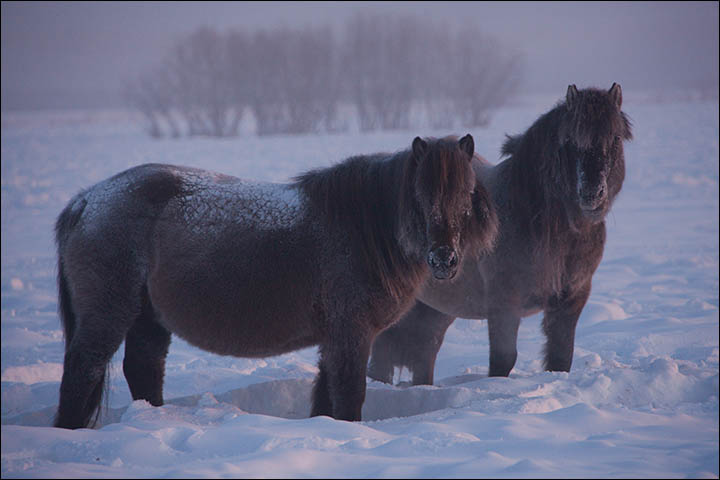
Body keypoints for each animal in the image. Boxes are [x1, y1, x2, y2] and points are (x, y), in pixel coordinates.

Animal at [53, 134, 498, 428]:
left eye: (466, 194)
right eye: (419, 197)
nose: (444, 259)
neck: (363, 228)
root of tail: (87, 200)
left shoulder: (335, 335)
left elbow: (326, 392)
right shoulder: (351, 332)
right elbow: (349, 392)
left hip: (148, 317)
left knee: (143, 369)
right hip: (109, 314)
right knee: (83, 371)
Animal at [368, 84, 632, 384]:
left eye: (615, 137)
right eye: (570, 140)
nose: (591, 193)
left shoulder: (570, 301)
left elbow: (561, 358)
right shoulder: (505, 304)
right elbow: (503, 360)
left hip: (433, 311)